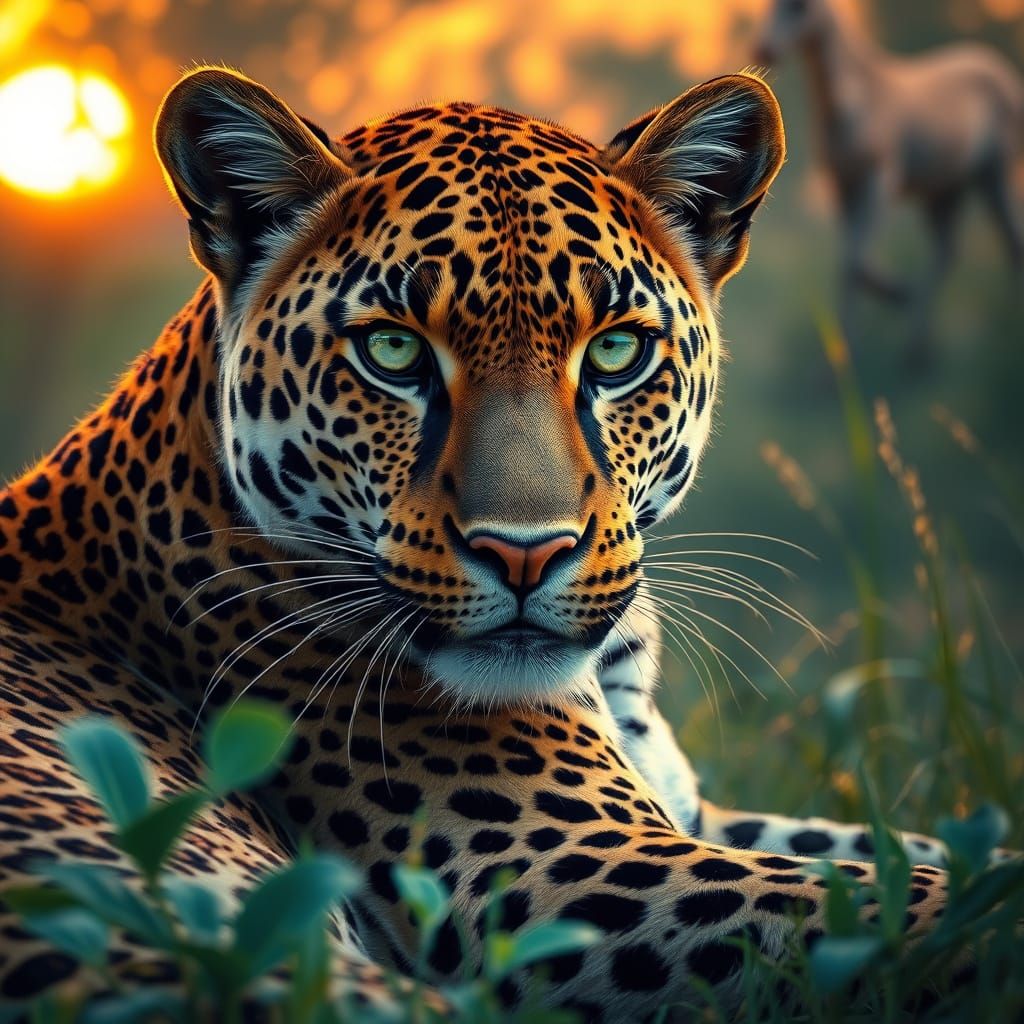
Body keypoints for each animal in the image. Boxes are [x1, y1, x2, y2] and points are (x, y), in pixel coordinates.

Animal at [0, 66, 989, 1020]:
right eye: (393, 353)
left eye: (617, 352)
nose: (525, 554)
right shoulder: (571, 870)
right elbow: (918, 902)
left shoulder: (690, 814)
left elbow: (926, 849)